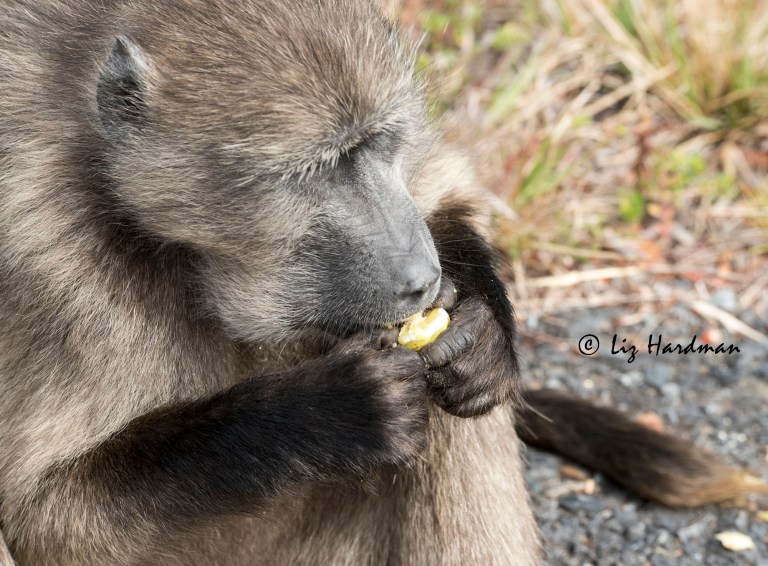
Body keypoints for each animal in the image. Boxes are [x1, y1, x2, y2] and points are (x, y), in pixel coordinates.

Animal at [0, 1, 764, 565]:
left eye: (379, 146)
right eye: (315, 171)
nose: (423, 279)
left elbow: (444, 192)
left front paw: (483, 334)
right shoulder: (46, 261)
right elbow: (47, 518)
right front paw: (326, 412)